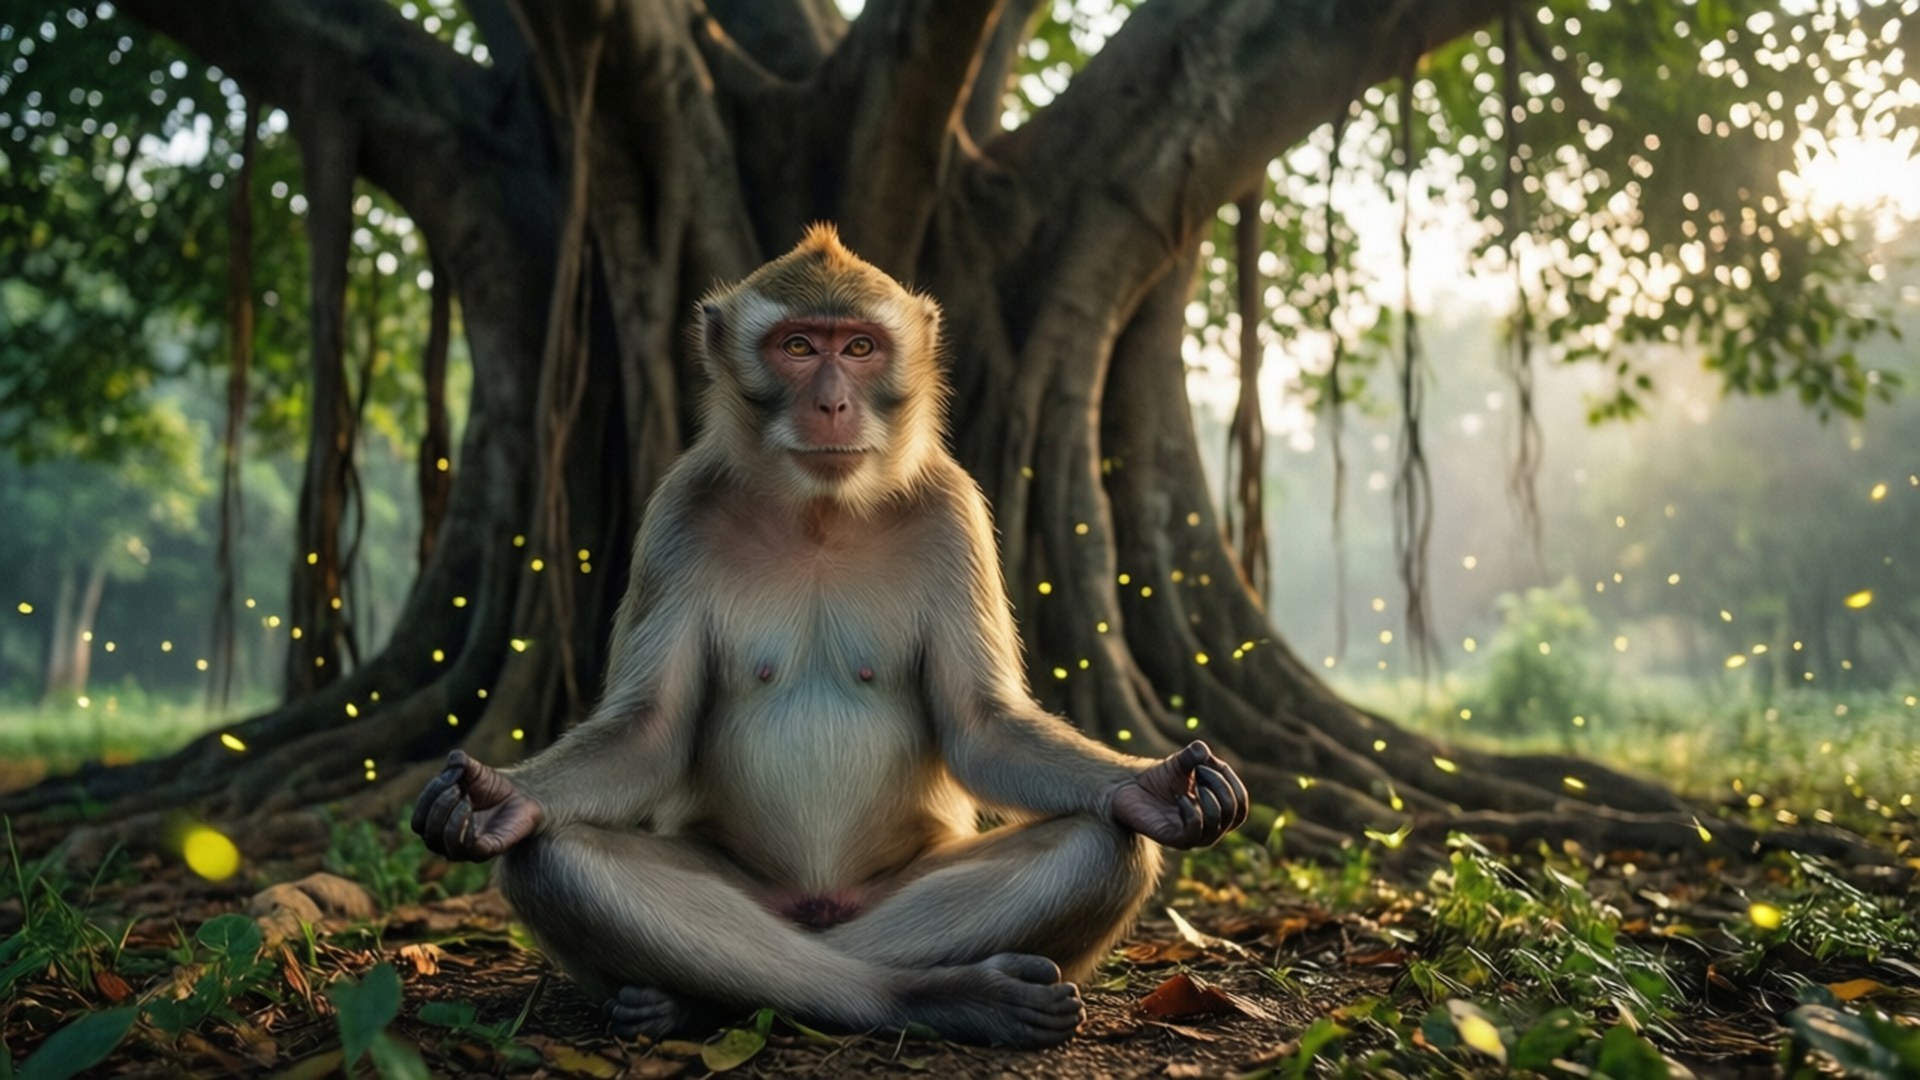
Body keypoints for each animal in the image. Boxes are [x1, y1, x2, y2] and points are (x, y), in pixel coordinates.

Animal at [411, 224, 1249, 1049]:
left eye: (859, 348)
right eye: (797, 347)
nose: (833, 402)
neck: (820, 510)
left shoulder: (953, 511)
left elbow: (984, 727)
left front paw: (1152, 789)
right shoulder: (679, 510)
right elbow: (646, 733)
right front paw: (501, 801)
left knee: (1101, 847)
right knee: (555, 857)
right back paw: (896, 996)